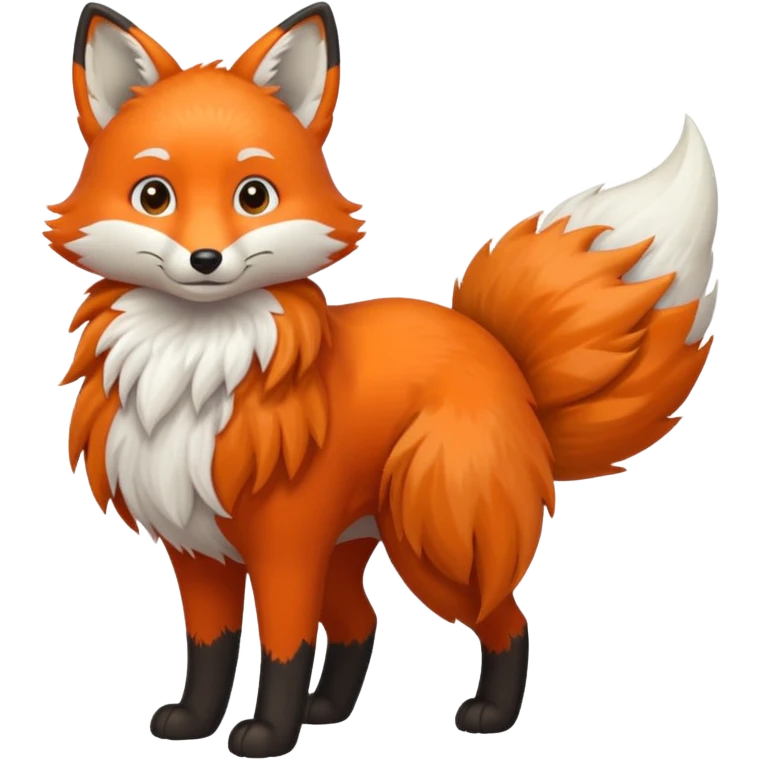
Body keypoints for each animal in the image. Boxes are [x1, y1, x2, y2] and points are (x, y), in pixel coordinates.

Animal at [44, 1, 720, 757]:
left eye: (254, 196)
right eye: (154, 196)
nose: (206, 258)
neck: (196, 365)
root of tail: (501, 356)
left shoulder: (285, 545)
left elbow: (282, 646)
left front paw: (267, 734)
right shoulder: (199, 549)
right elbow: (210, 649)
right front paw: (194, 722)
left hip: (430, 537)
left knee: (505, 620)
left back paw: (489, 715)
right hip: (353, 544)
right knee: (363, 622)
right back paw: (330, 710)